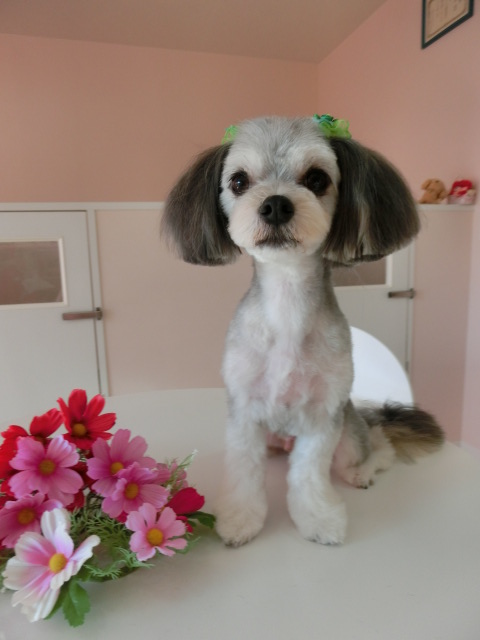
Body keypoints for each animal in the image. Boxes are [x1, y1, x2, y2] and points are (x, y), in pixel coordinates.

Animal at [162, 115, 444, 547]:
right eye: (239, 181)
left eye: (316, 178)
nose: (276, 204)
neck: (287, 301)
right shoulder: (244, 412)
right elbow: (244, 471)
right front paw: (240, 519)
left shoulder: (322, 415)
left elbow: (309, 473)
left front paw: (319, 520)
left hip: (348, 430)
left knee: (377, 445)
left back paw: (362, 472)